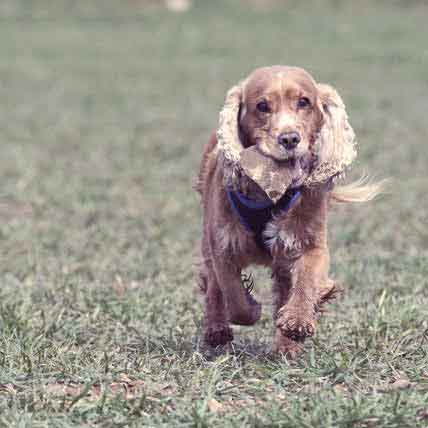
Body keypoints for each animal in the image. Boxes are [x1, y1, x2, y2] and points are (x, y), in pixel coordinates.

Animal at [194, 65, 382, 356]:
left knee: (284, 288)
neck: (270, 195)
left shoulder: (310, 243)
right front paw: (251, 308)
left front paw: (297, 321)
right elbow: (232, 293)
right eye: (262, 106)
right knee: (213, 284)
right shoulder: (223, 244)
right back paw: (216, 329)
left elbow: (305, 282)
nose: (290, 138)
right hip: (207, 238)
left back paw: (286, 346)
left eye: (304, 102)